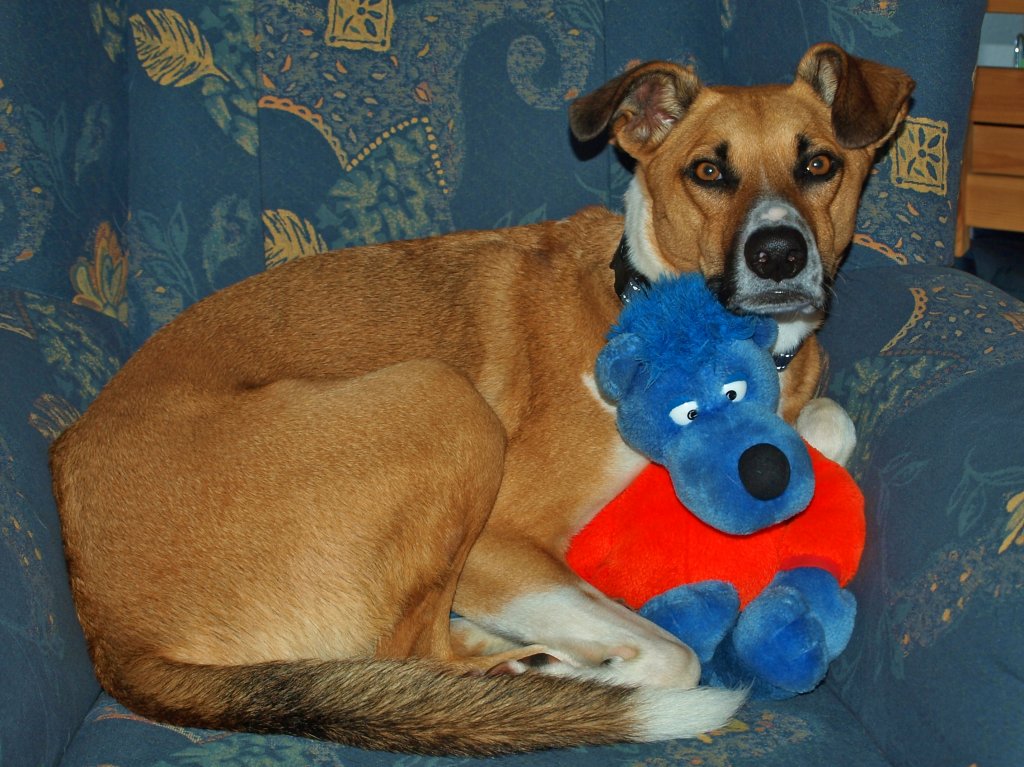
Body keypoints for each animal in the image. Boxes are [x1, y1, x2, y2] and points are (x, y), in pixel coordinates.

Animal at [49, 41, 913, 753]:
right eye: (709, 171)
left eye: (819, 165)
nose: (779, 254)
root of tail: (110, 634)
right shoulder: (504, 540)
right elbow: (671, 652)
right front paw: (596, 670)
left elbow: (829, 421)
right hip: (443, 398)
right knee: (414, 651)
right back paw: (544, 675)